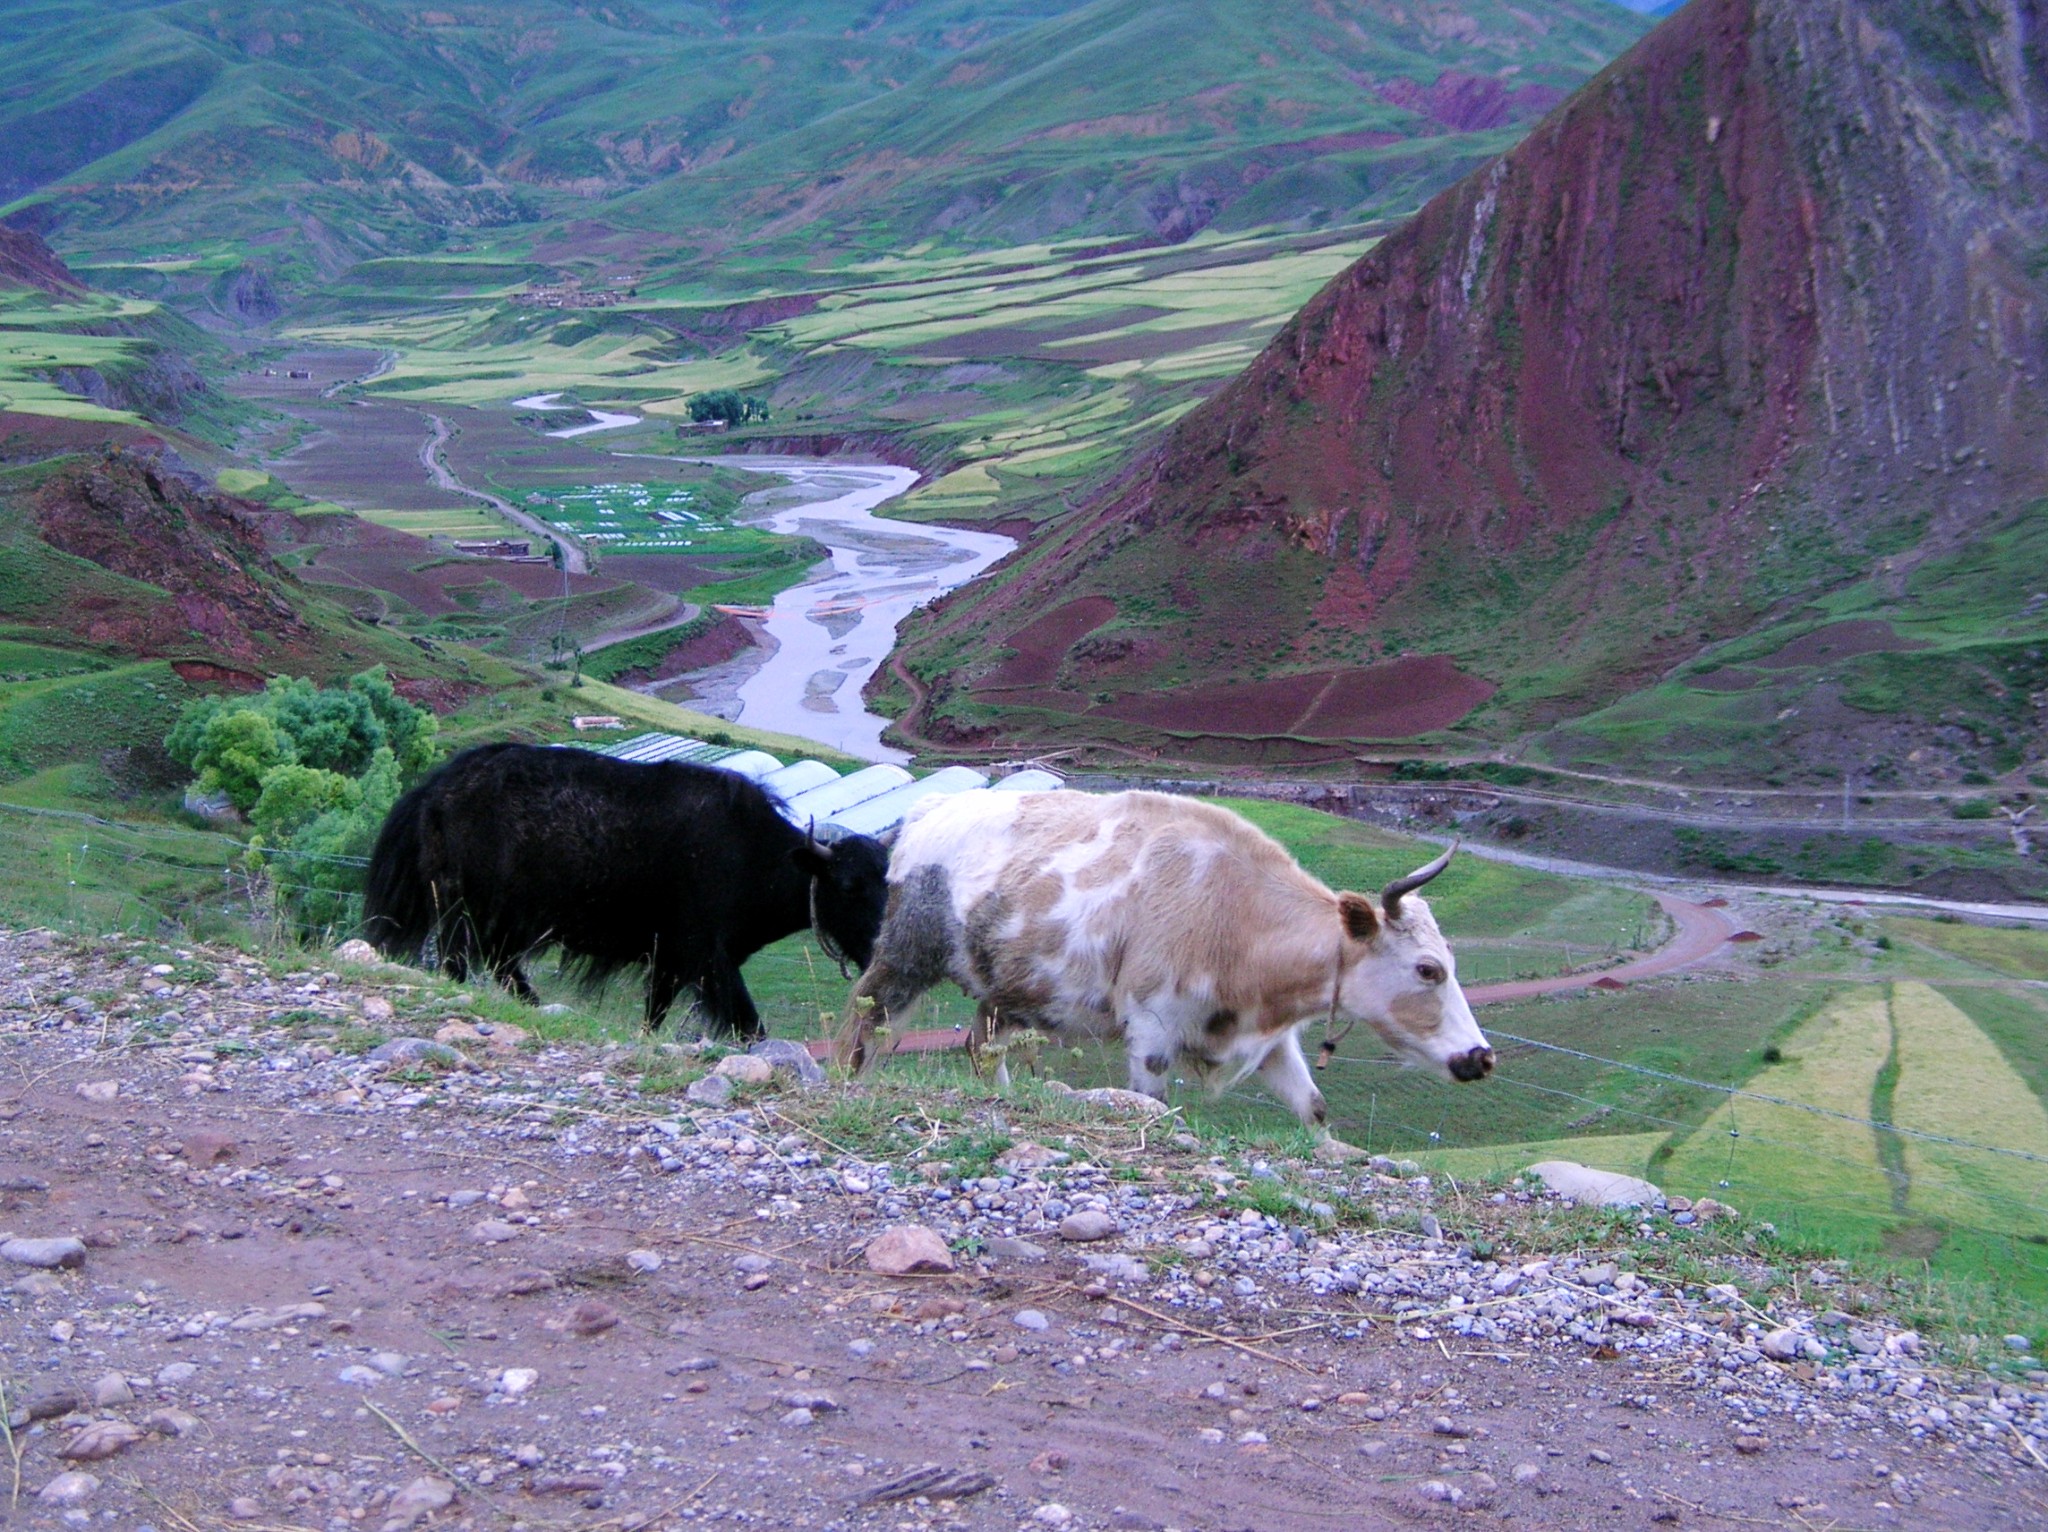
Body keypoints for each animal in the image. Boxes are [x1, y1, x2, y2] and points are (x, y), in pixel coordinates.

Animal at [363, 742, 890, 1039]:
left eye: (888, 884)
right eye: (848, 886)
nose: (878, 951)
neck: (755, 855)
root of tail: (435, 790)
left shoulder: (669, 961)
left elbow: (654, 1015)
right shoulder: (705, 958)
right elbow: (748, 1024)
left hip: (504, 916)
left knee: (500, 962)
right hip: (464, 905)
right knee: (460, 961)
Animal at [835, 790, 1492, 1126]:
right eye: (1427, 969)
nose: (1480, 1057)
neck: (1235, 909)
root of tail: (928, 812)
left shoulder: (1269, 1038)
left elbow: (1315, 1107)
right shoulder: (1151, 1030)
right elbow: (1152, 1103)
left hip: (1009, 993)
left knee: (982, 1045)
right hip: (903, 962)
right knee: (864, 1030)